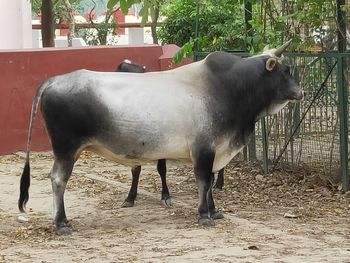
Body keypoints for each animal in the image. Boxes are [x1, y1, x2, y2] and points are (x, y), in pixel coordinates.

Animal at [18, 40, 304, 235]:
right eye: (285, 70)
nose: (301, 92)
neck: (230, 88)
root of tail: (53, 80)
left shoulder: (214, 150)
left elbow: (211, 181)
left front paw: (214, 211)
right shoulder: (204, 148)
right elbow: (204, 181)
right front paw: (204, 215)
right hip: (66, 150)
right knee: (58, 179)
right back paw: (61, 223)